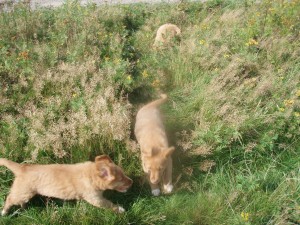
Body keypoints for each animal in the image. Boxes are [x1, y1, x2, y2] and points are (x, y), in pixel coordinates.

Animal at [0, 155, 132, 214]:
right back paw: (4, 212)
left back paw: (24, 208)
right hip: (23, 192)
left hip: (24, 193)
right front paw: (120, 209)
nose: (132, 182)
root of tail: (21, 168)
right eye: (121, 179)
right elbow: (109, 204)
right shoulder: (95, 198)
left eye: (124, 174)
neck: (90, 174)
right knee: (9, 198)